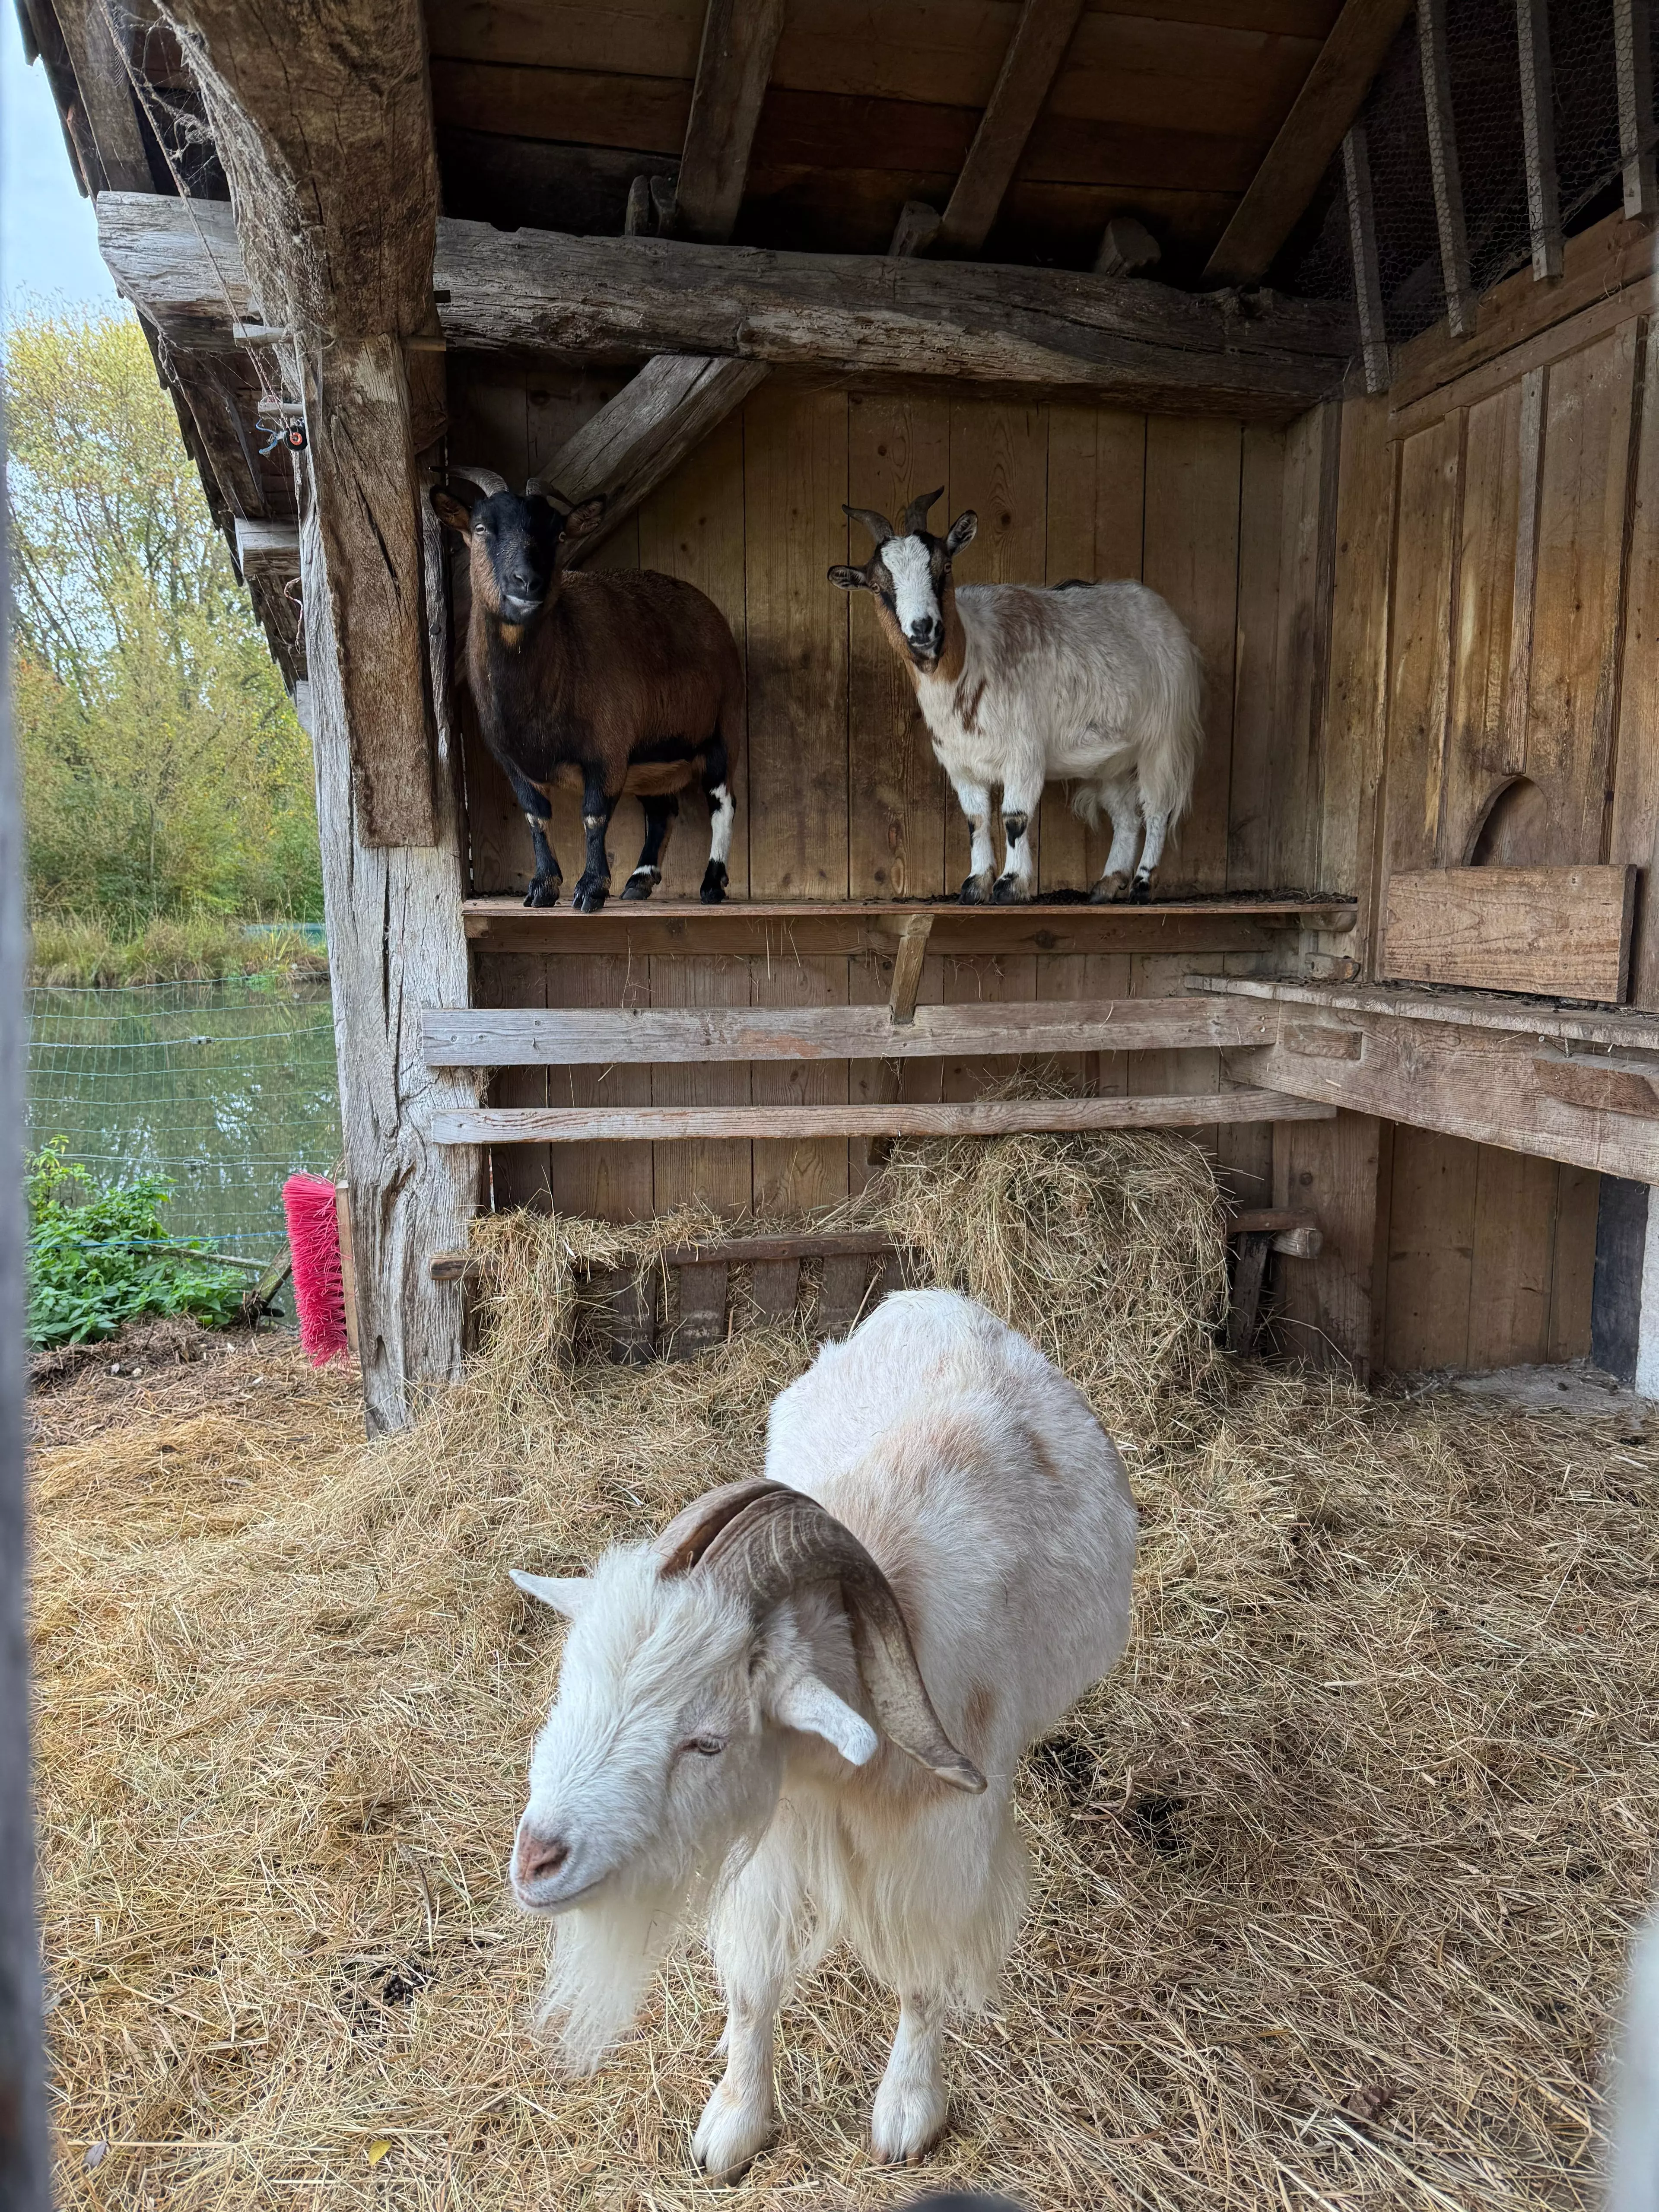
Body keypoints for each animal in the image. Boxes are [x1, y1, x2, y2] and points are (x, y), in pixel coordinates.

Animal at [432, 469, 743, 911]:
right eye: (480, 527)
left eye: (558, 533)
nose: (528, 582)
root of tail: (714, 616)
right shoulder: (513, 762)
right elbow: (536, 816)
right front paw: (542, 888)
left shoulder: (607, 751)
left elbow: (594, 816)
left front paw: (590, 889)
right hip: (650, 758)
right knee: (662, 809)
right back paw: (639, 881)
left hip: (722, 727)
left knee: (722, 802)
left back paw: (713, 885)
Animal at [507, 1288, 1137, 2176]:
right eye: (573, 1688)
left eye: (707, 1740)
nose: (537, 1862)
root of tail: (936, 1297)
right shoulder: (771, 1828)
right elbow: (750, 1982)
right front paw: (736, 2120)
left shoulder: (947, 1841)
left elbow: (923, 1973)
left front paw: (908, 2109)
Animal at [828, 490, 1204, 904]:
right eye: (878, 587)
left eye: (945, 568)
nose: (923, 629)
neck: (969, 662)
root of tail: (1168, 619)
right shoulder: (960, 763)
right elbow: (975, 820)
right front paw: (974, 884)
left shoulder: (1024, 753)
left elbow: (1015, 818)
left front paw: (1011, 884)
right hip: (1112, 759)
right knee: (1126, 816)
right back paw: (1107, 884)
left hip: (1162, 738)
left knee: (1157, 810)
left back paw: (1141, 884)